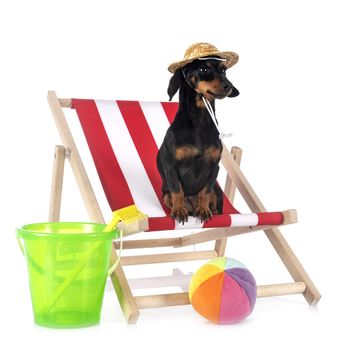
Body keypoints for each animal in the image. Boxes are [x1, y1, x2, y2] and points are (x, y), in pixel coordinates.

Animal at [157, 44, 239, 224]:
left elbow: (205, 192)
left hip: (218, 194)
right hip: (165, 195)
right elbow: (178, 190)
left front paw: (204, 209)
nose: (228, 86)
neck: (199, 121)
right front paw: (179, 210)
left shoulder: (214, 166)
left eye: (224, 70)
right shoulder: (171, 166)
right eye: (203, 69)